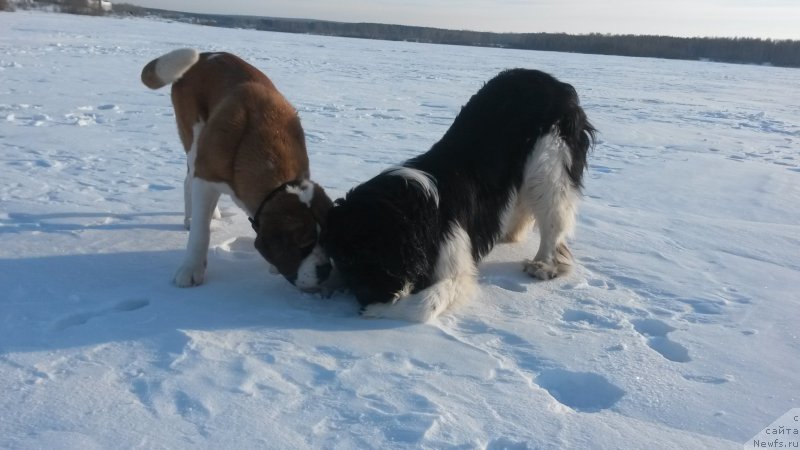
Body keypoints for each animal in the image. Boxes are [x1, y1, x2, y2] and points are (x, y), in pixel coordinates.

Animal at [142, 47, 332, 290]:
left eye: (327, 239)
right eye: (303, 245)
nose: (326, 270)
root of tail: (204, 55)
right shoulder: (206, 174)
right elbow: (200, 233)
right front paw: (191, 269)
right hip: (194, 135)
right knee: (189, 179)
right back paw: (190, 218)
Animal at [320, 68, 592, 322]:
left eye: (365, 258)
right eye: (345, 261)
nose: (364, 298)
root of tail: (556, 83)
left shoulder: (456, 266)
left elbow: (426, 305)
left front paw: (378, 309)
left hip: (549, 160)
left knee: (553, 218)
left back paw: (542, 264)